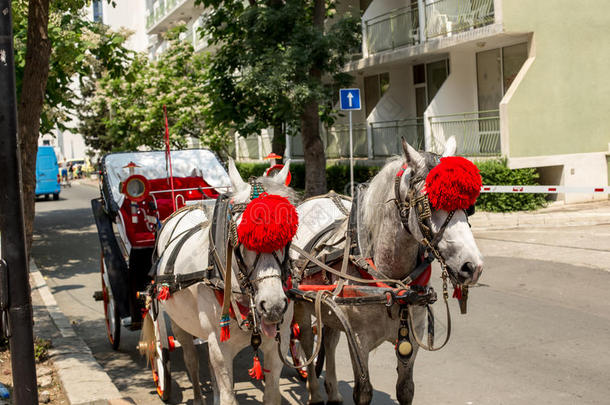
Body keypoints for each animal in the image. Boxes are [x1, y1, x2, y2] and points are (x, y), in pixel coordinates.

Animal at [148, 160, 298, 404]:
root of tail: (187, 208)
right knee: (191, 360)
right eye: (244, 237)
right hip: (179, 322)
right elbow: (228, 396)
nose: (273, 306)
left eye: (287, 236)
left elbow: (272, 394)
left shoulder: (279, 343)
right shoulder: (220, 347)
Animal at [292, 139, 482, 404]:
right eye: (430, 204)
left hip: (328, 304)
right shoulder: (358, 340)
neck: (390, 281)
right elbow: (363, 392)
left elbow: (405, 389)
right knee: (307, 343)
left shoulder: (412, 336)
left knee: (329, 339)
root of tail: (315, 199)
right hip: (300, 301)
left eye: (469, 207)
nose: (472, 266)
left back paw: (333, 392)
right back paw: (315, 393)